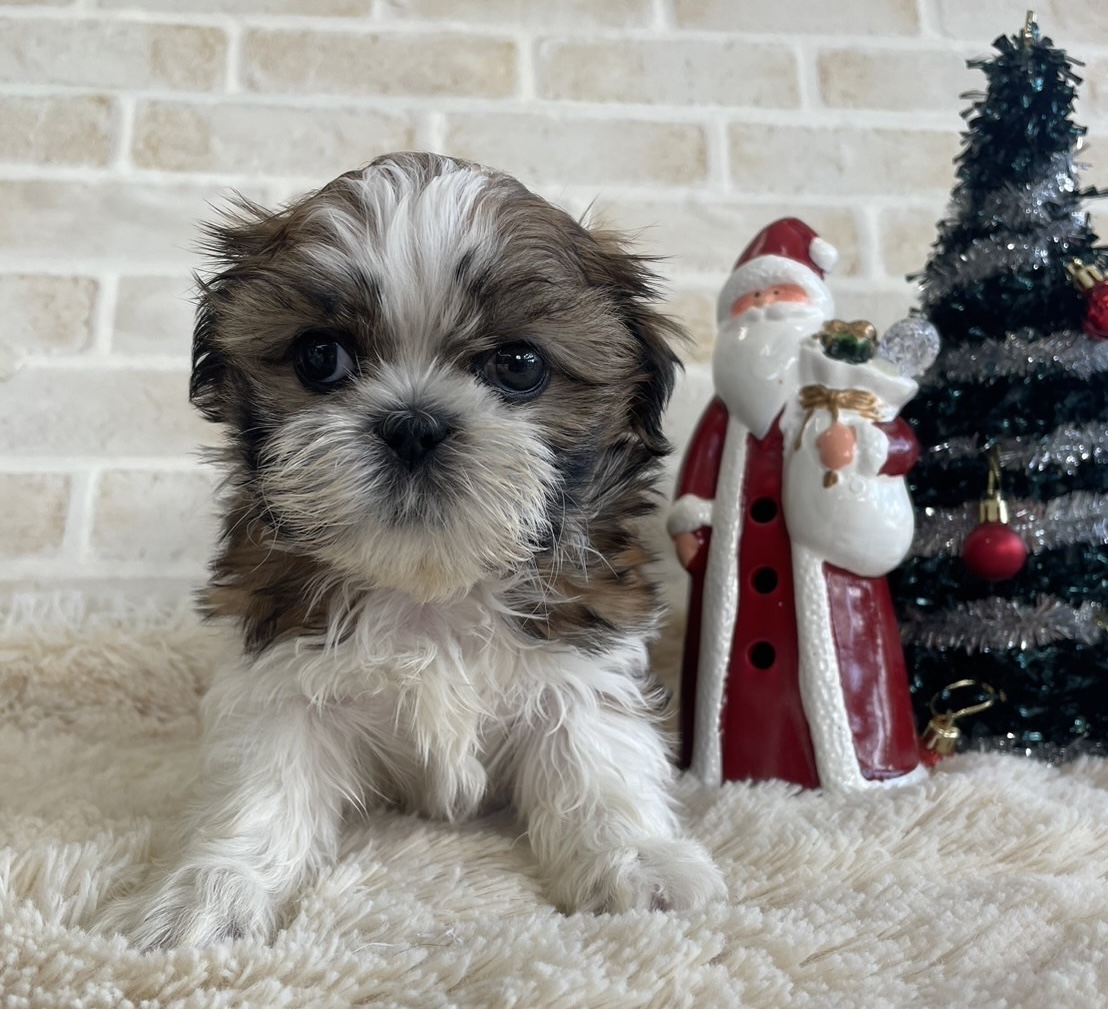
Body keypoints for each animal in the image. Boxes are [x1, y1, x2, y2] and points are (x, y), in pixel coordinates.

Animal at [108, 149, 722, 948]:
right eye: (320, 356)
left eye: (519, 365)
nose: (413, 423)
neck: (431, 590)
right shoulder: (283, 677)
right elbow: (261, 787)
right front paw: (208, 891)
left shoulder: (580, 658)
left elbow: (597, 765)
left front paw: (642, 864)